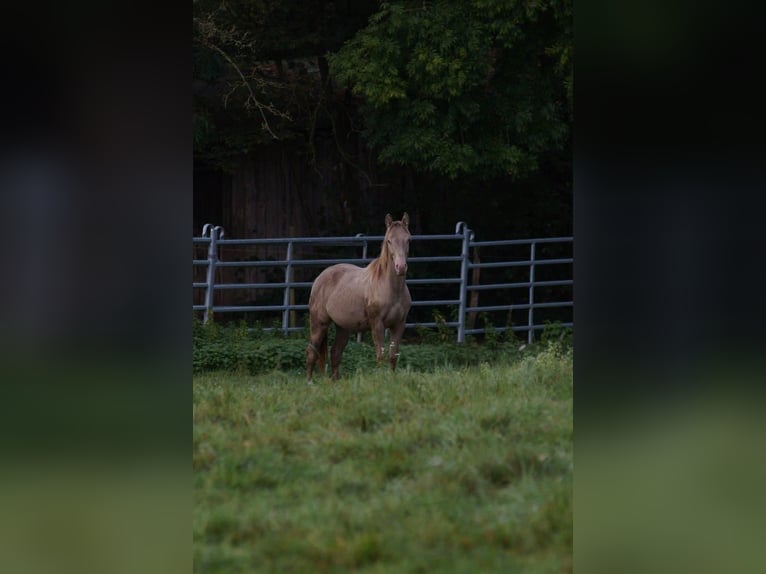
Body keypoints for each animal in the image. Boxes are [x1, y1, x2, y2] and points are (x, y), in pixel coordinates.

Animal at [306, 212, 414, 382]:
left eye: (408, 239)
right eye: (389, 241)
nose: (401, 267)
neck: (391, 289)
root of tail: (319, 278)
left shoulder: (399, 325)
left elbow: (393, 357)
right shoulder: (377, 324)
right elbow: (380, 356)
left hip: (343, 327)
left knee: (335, 353)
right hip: (319, 323)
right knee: (312, 352)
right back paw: (309, 382)